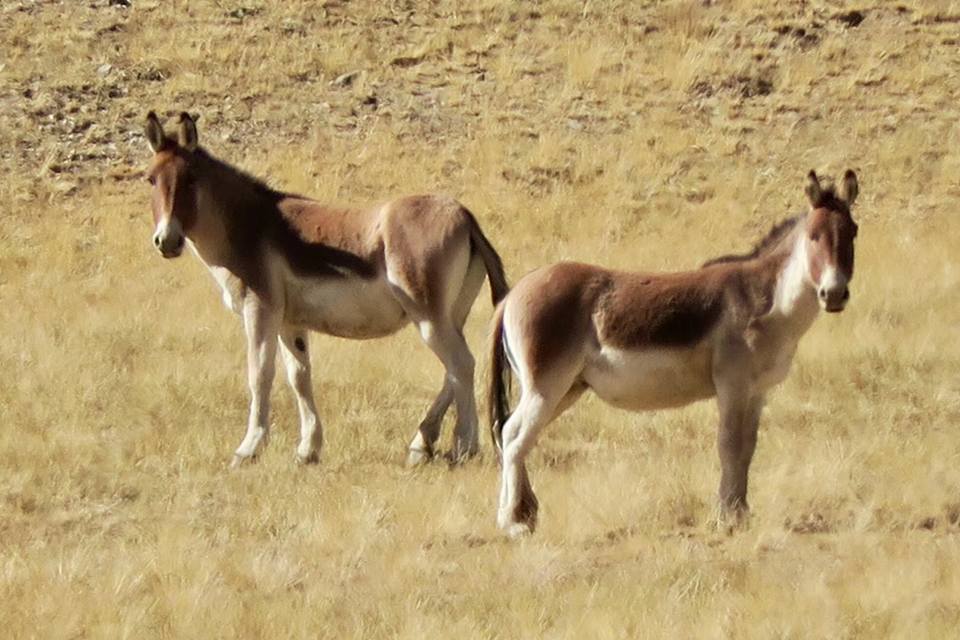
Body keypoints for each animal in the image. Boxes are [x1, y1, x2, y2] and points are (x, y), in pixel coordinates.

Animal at [142, 111, 508, 467]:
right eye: (150, 179)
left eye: (191, 179)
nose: (167, 242)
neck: (249, 226)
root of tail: (464, 215)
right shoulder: (290, 322)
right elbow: (299, 377)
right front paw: (308, 450)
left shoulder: (259, 309)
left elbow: (260, 374)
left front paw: (248, 449)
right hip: (449, 317)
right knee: (455, 370)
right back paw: (422, 445)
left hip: (430, 318)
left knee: (462, 365)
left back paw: (464, 447)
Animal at [487, 170, 859, 536]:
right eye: (813, 236)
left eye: (853, 232)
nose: (834, 294)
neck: (766, 299)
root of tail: (514, 294)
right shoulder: (733, 386)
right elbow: (729, 445)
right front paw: (725, 517)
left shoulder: (757, 391)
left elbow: (747, 449)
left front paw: (741, 513)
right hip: (546, 387)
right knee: (514, 436)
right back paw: (512, 523)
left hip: (567, 389)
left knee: (513, 435)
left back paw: (526, 513)